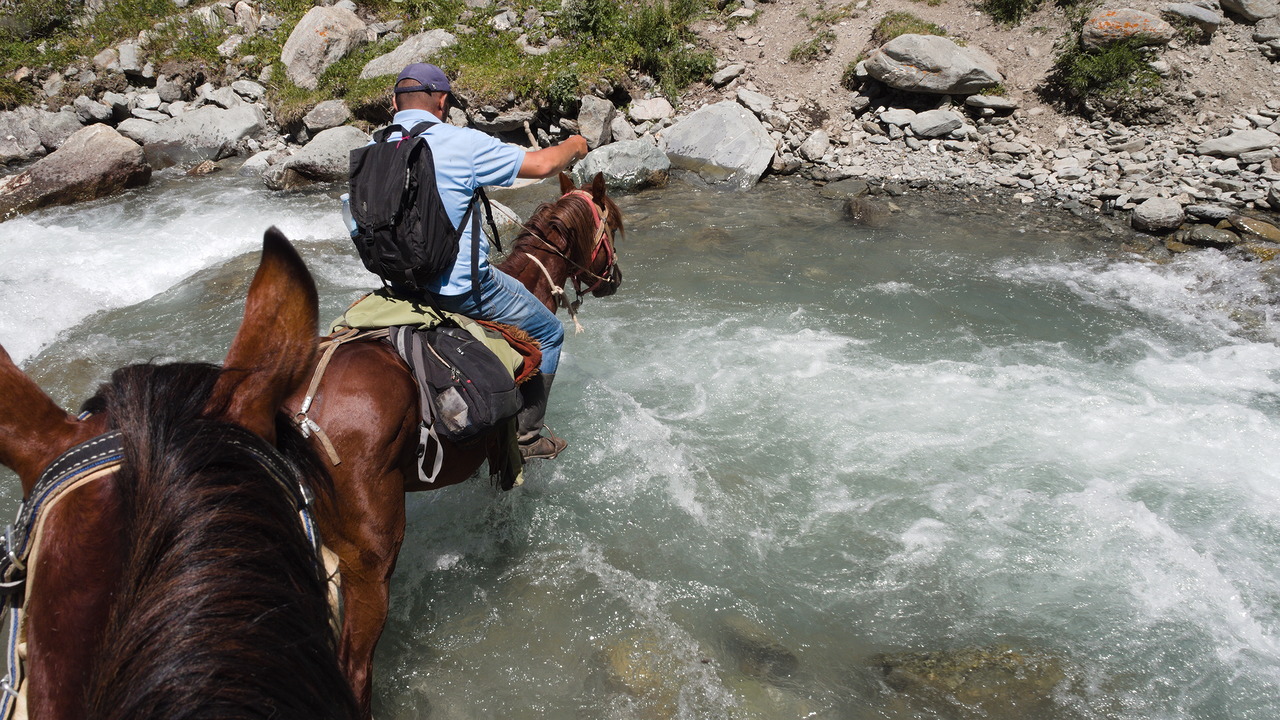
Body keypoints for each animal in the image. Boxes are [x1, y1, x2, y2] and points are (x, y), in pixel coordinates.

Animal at [285, 172, 624, 715]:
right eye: (611, 225)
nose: (615, 279)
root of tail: (300, 413)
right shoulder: (507, 450)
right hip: (369, 562)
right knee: (354, 667)